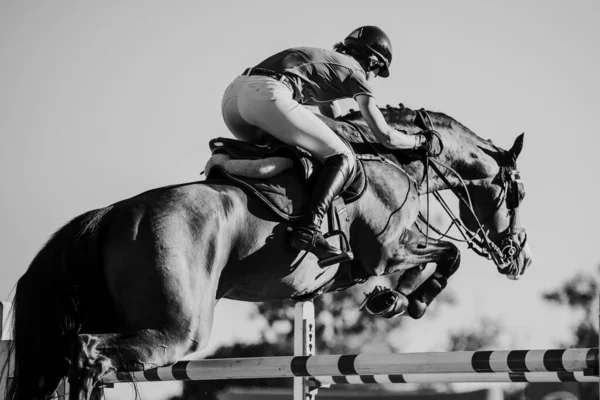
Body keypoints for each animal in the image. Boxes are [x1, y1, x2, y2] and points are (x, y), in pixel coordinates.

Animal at [3, 104, 528, 398]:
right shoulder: (385, 250)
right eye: (518, 192)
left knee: (76, 359)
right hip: (179, 328)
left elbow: (443, 256)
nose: (519, 258)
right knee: (90, 353)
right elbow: (448, 255)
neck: (394, 159)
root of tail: (111, 213)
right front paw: (403, 301)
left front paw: (392, 299)